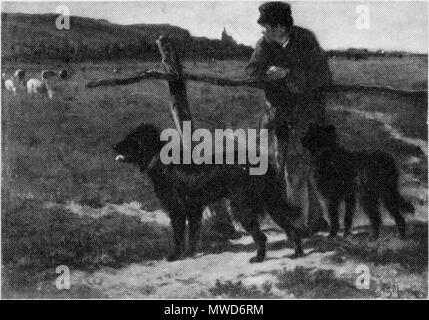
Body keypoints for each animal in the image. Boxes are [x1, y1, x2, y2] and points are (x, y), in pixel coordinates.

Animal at [112, 122, 302, 262]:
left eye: (131, 139)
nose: (113, 145)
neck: (160, 160)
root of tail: (264, 164)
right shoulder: (194, 209)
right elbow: (193, 234)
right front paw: (190, 254)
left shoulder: (177, 209)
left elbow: (178, 235)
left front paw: (174, 256)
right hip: (272, 204)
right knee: (291, 228)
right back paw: (297, 254)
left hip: (242, 207)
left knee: (262, 237)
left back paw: (259, 258)